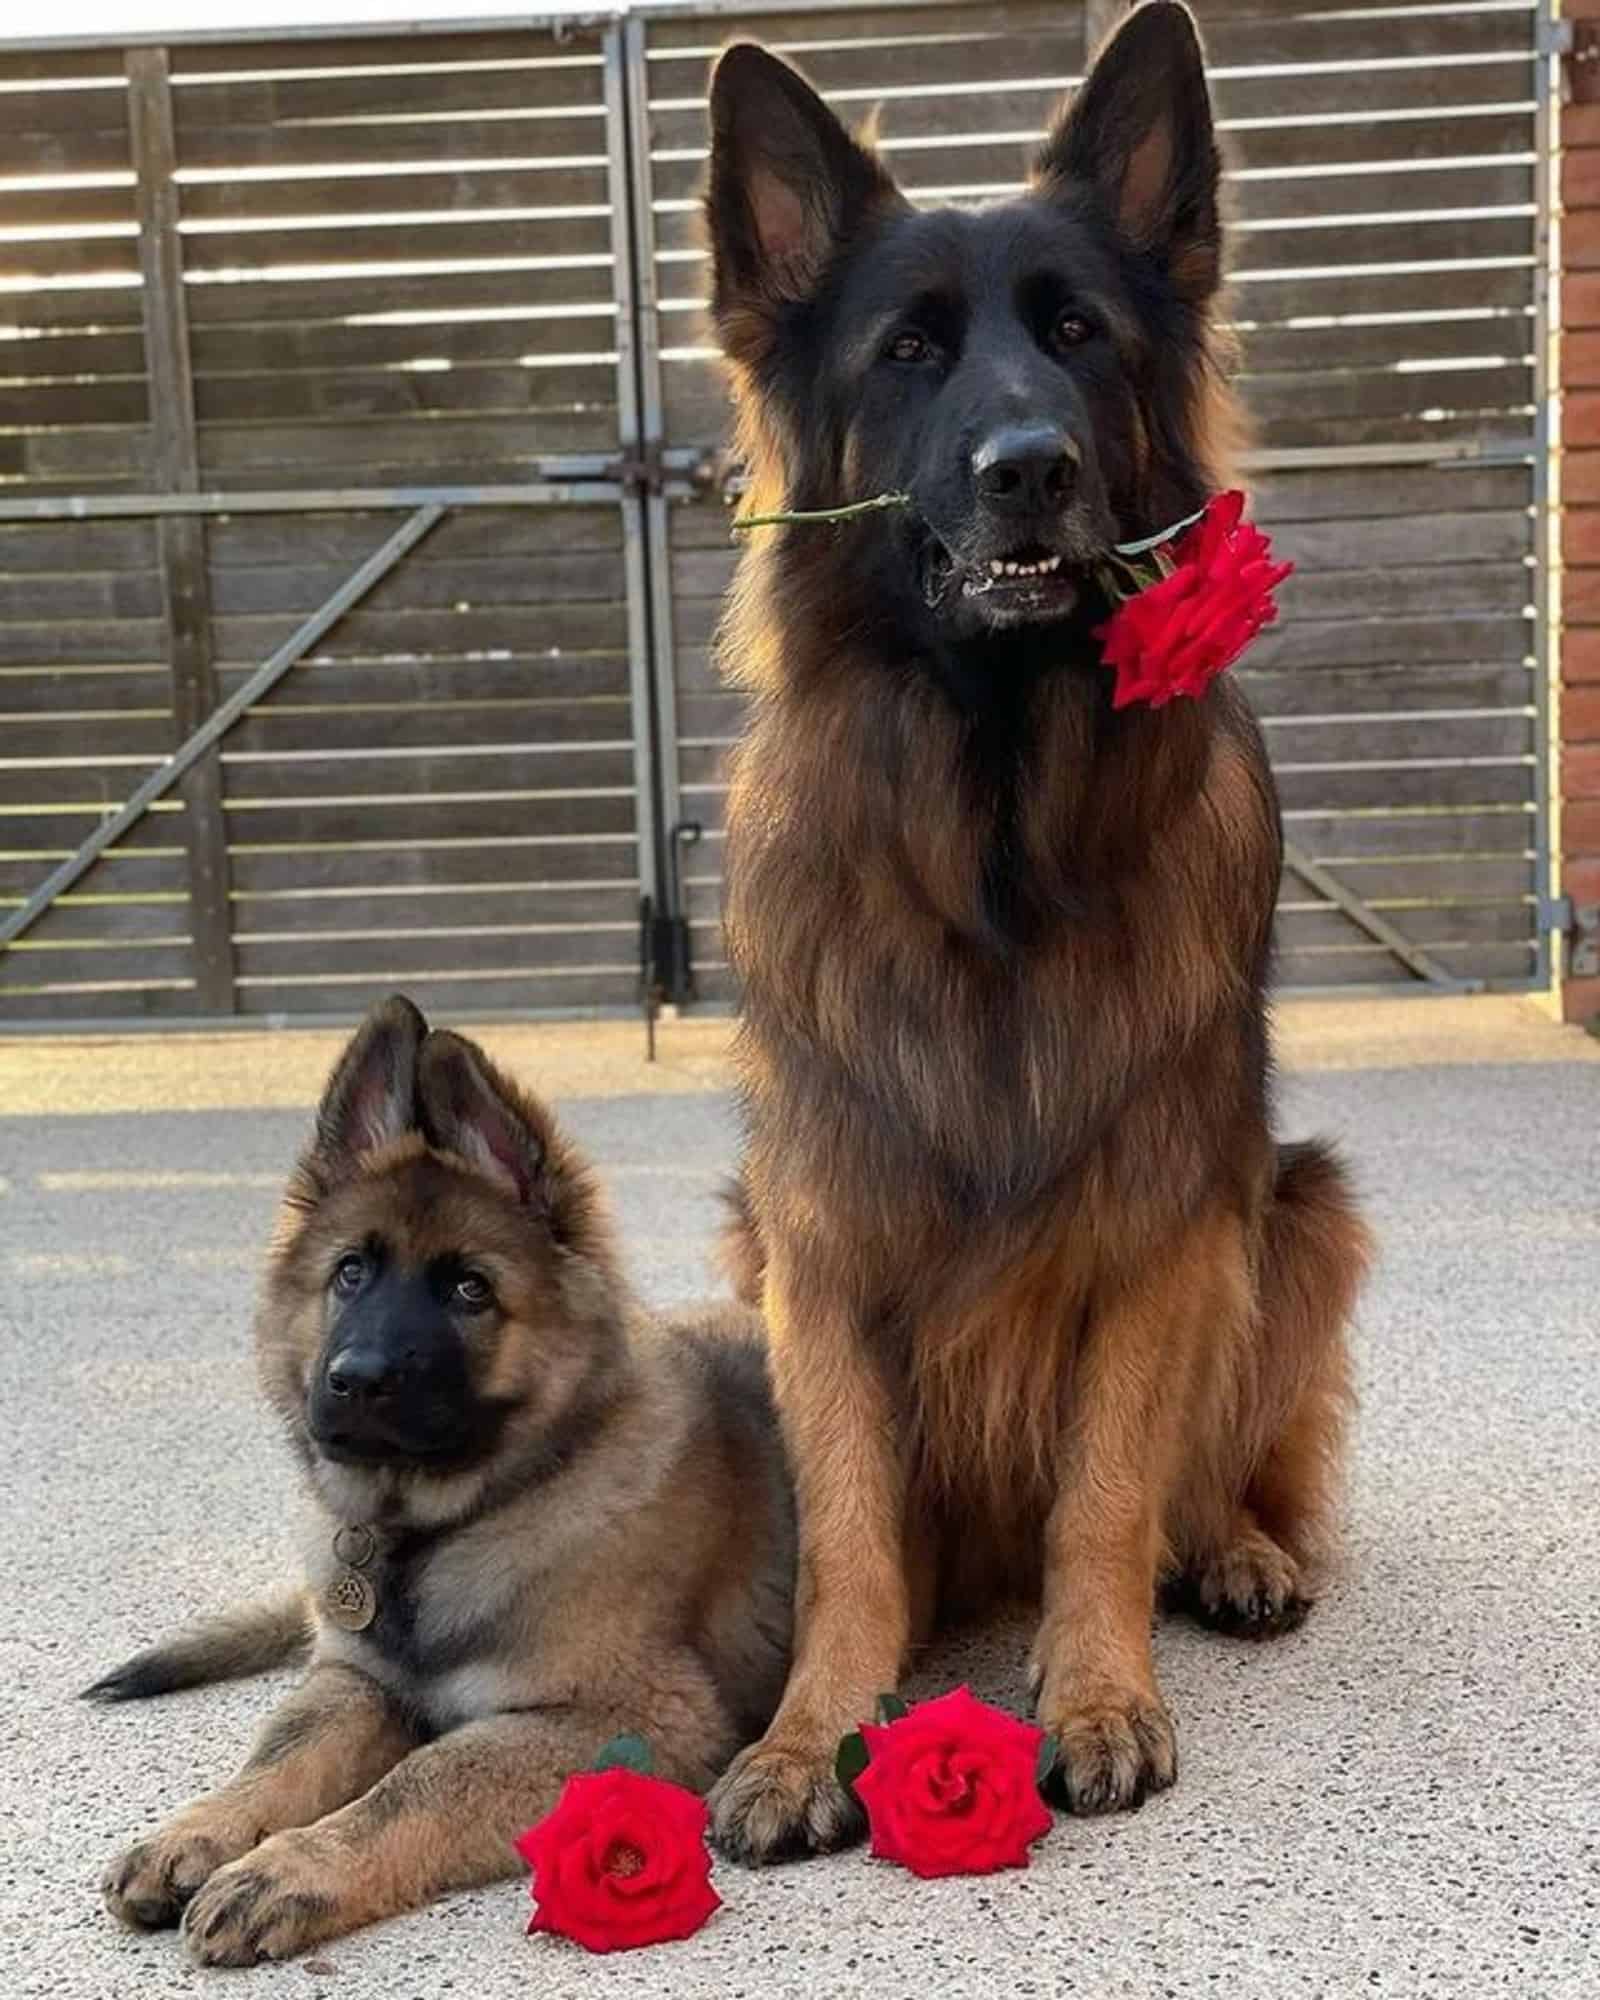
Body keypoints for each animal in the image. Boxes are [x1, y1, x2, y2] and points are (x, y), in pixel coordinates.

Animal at [90, 992, 792, 1960]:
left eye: (469, 1290)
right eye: (350, 1273)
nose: (355, 1380)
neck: (436, 1530)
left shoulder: (636, 1718)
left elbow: (418, 1783)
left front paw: (288, 1869)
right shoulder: (357, 1682)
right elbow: (280, 1755)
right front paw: (200, 1828)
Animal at [708, 7, 1368, 1864]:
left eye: (1076, 333)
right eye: (910, 351)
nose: (1033, 470)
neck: (994, 839)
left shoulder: (1154, 1231)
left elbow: (1110, 1496)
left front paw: (1096, 1694)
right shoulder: (821, 1239)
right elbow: (853, 1528)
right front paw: (808, 1730)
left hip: (1295, 1210)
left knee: (1210, 1472)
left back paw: (1232, 1551)